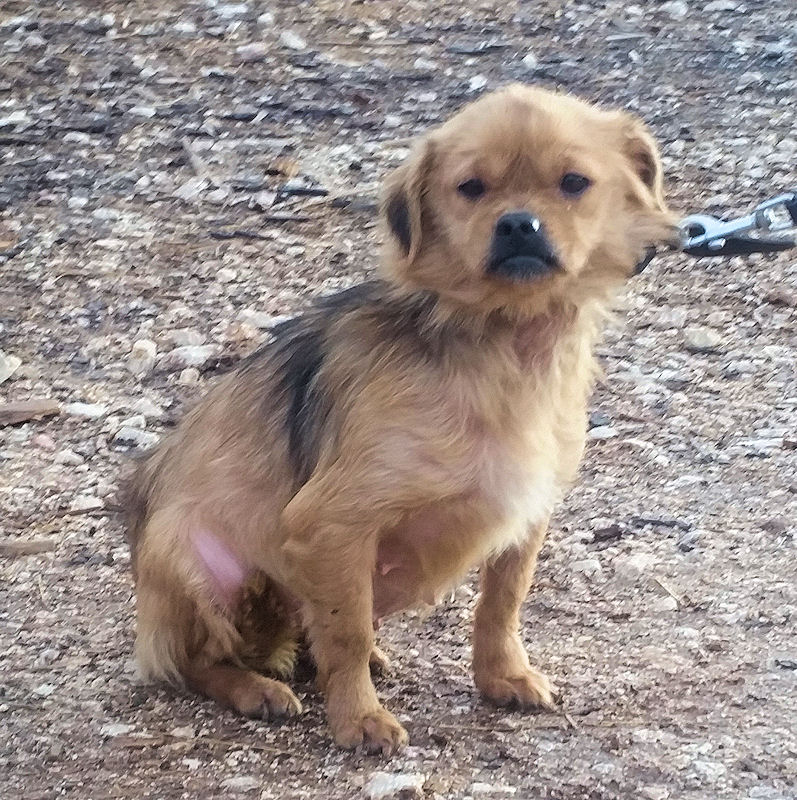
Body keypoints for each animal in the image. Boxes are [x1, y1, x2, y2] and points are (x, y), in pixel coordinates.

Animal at [126, 84, 674, 755]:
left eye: (574, 183)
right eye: (471, 188)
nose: (519, 223)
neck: (505, 339)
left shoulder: (527, 508)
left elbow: (502, 603)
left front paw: (503, 676)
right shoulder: (333, 522)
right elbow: (347, 631)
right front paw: (358, 718)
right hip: (199, 558)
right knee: (195, 661)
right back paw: (256, 689)